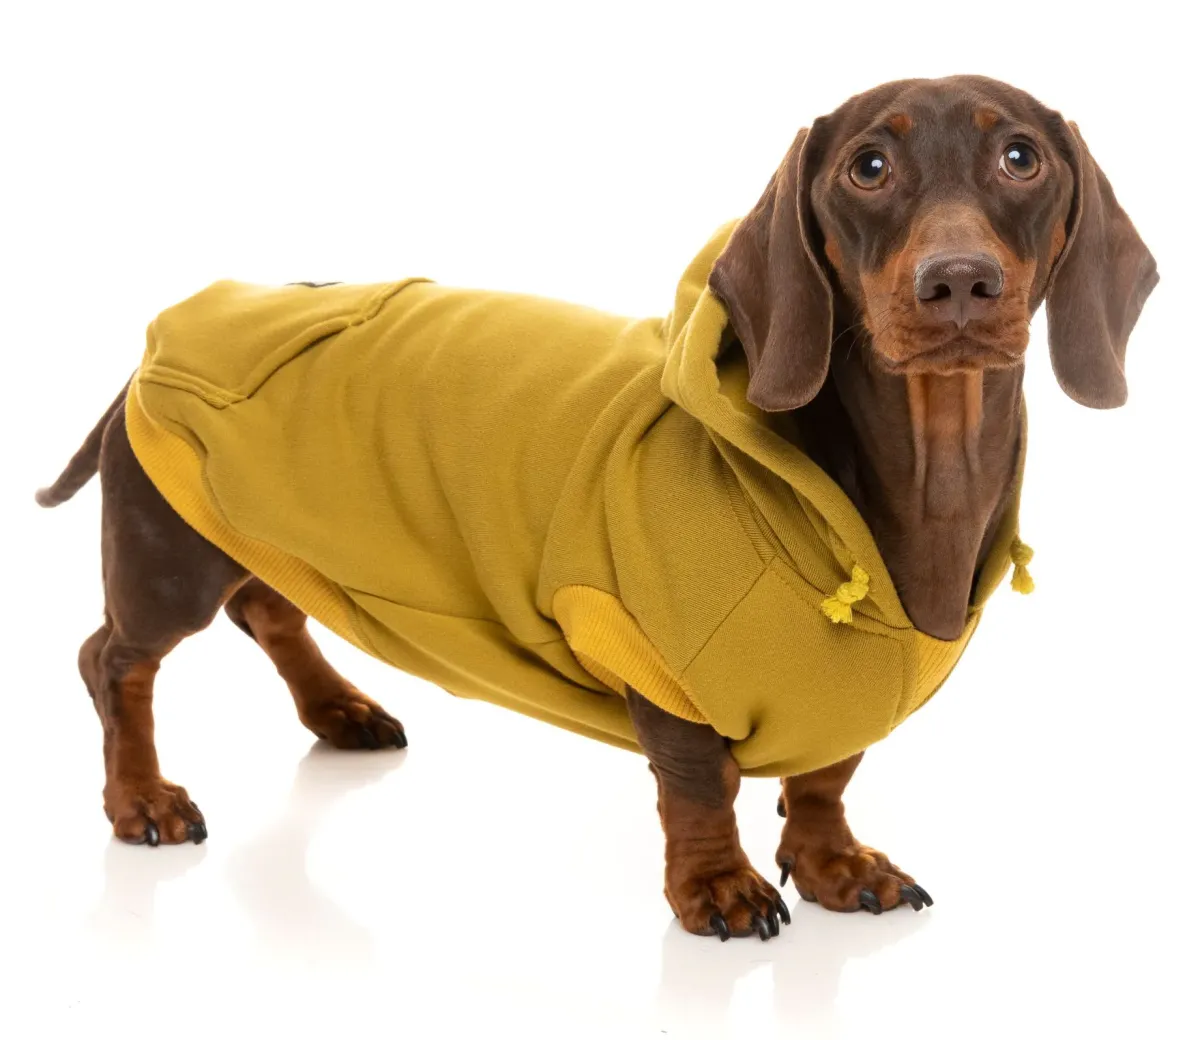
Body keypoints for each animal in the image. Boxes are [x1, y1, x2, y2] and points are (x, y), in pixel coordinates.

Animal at [38, 75, 1156, 942]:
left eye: (1020, 157)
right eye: (867, 167)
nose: (957, 282)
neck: (905, 487)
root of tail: (158, 346)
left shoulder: (848, 698)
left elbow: (827, 776)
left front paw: (836, 864)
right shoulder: (654, 659)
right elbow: (699, 784)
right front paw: (718, 886)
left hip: (262, 531)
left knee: (271, 604)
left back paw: (339, 709)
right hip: (168, 550)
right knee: (115, 658)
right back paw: (141, 799)